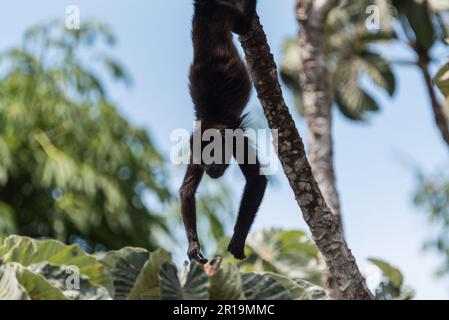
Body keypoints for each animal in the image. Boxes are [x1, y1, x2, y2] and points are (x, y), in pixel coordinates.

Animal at [178, 0, 264, 264]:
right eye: (204, 161)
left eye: (212, 157)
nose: (208, 168)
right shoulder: (194, 147)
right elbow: (186, 191)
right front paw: (192, 246)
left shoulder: (235, 139)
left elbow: (256, 180)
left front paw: (237, 240)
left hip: (225, 13)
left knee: (243, 25)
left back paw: (251, 8)